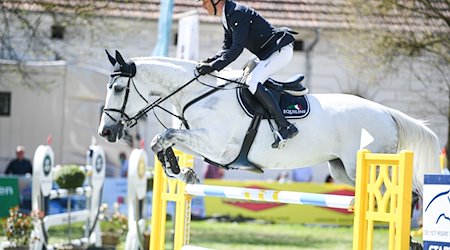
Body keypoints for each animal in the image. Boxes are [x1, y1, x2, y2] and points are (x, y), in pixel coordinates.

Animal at [97, 50, 440, 197]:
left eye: (118, 88)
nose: (106, 132)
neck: (197, 93)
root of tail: (386, 112)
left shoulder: (217, 147)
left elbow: (166, 135)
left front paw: (180, 170)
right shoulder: (204, 143)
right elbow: (162, 140)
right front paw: (181, 172)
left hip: (370, 165)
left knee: (401, 195)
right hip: (342, 170)